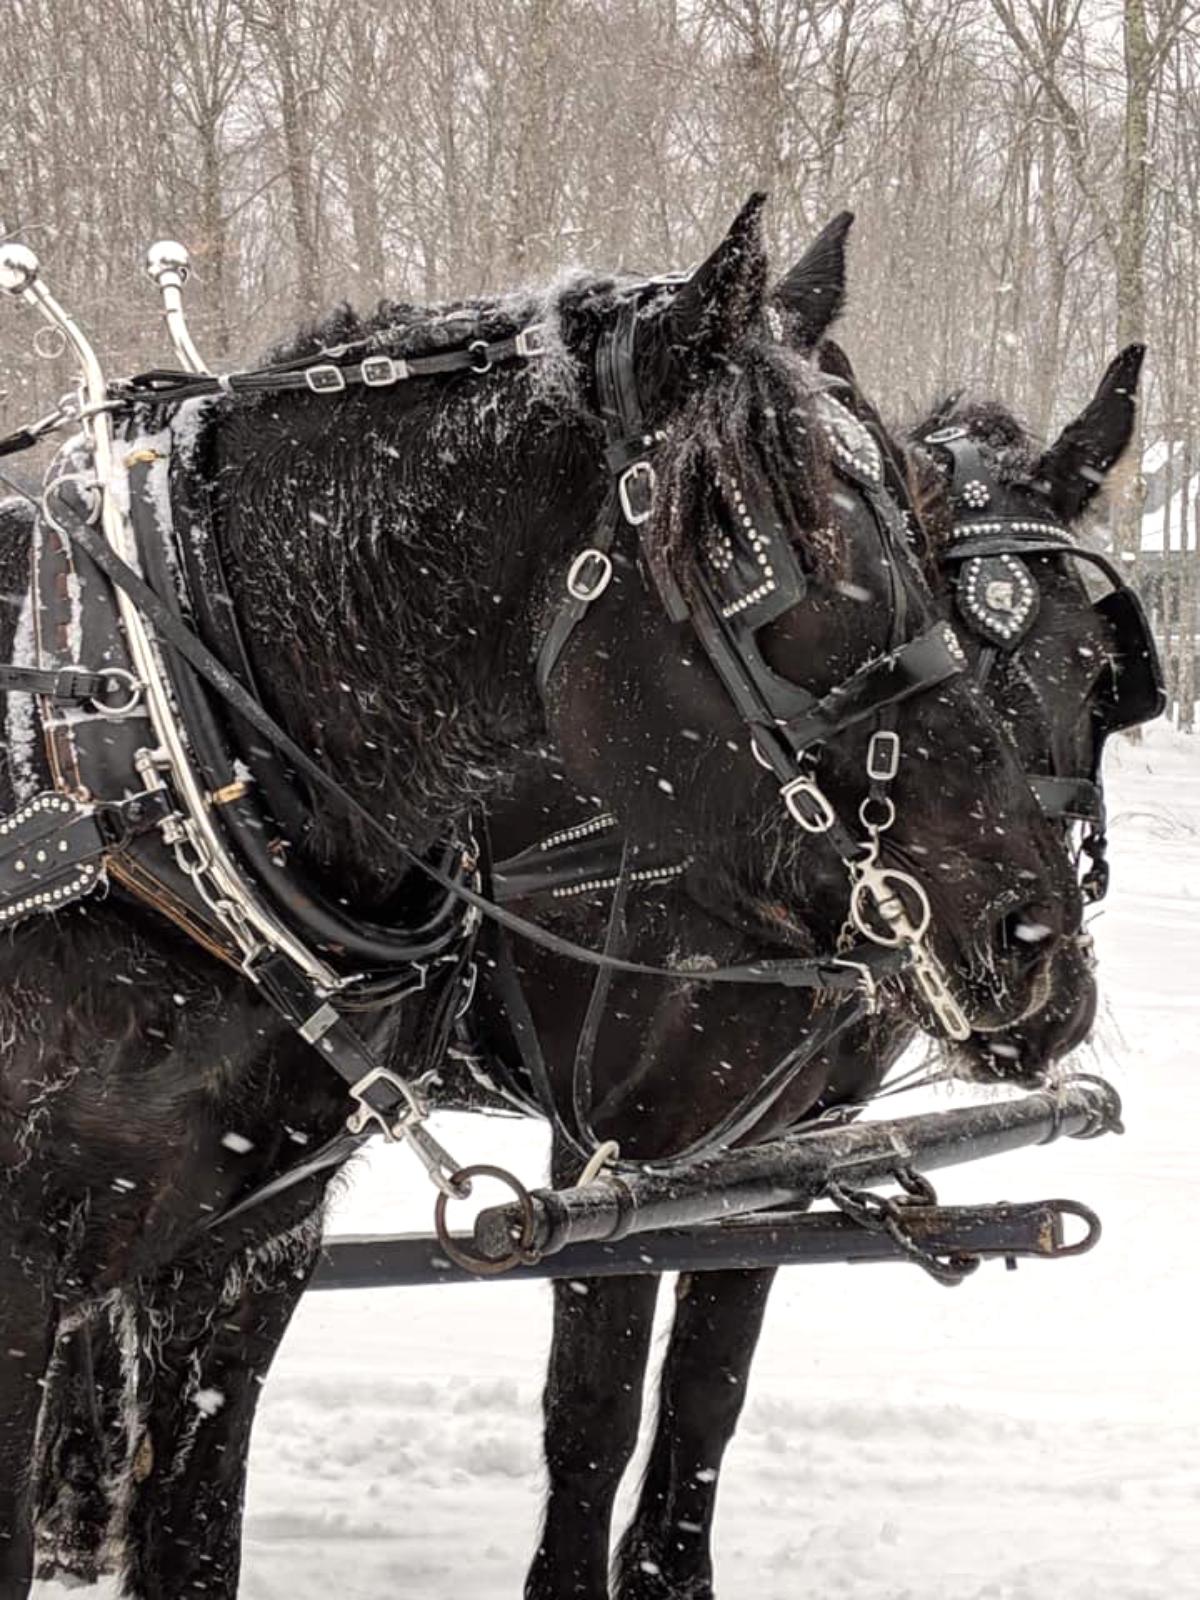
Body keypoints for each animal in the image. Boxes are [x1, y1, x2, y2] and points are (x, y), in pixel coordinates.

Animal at [2, 200, 1088, 1600]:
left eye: (1103, 666)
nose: (1039, 943)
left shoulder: (249, 1249)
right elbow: (597, 1404)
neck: (140, 746)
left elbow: (701, 1389)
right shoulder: (618, 1143)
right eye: (813, 584)